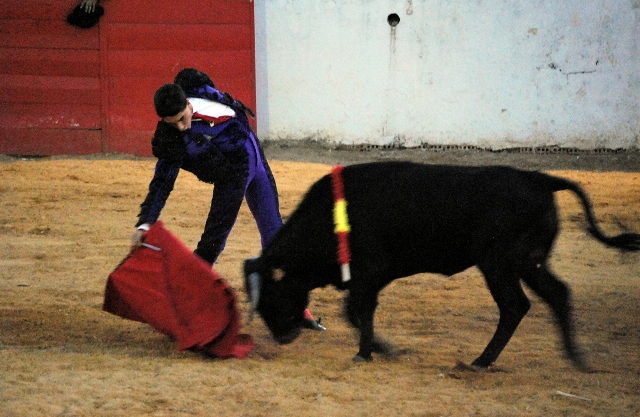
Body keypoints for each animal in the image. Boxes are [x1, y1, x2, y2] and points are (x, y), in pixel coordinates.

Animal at [245, 161, 640, 368]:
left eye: (273, 297)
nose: (282, 338)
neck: (329, 217)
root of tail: (539, 178)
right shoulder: (369, 278)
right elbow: (357, 311)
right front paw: (378, 350)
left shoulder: (369, 272)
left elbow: (357, 310)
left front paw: (368, 352)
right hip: (529, 263)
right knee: (557, 294)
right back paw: (575, 357)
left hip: (499, 265)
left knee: (515, 306)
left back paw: (482, 360)